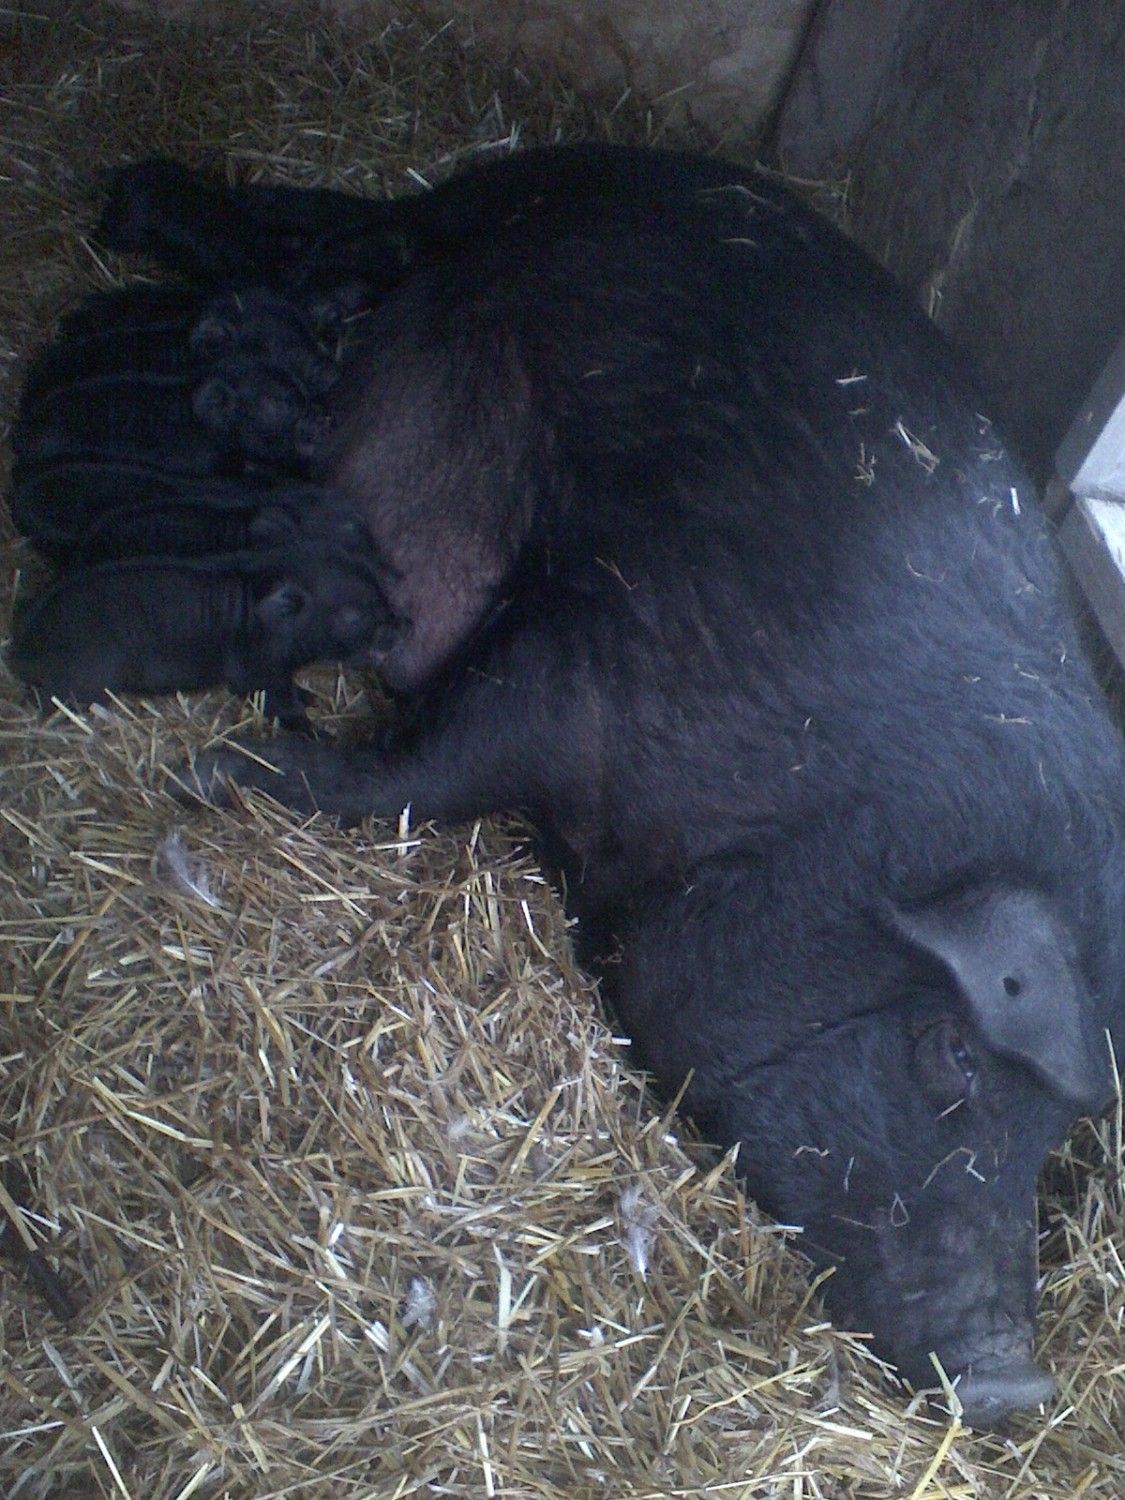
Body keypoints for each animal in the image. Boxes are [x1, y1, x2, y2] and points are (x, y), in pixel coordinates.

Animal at [95, 145, 1125, 1427]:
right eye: (952, 1055)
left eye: (1058, 1132)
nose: (1015, 1383)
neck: (822, 811)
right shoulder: (584, 643)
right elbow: (419, 771)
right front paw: (210, 774)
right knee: (308, 236)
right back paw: (135, 206)